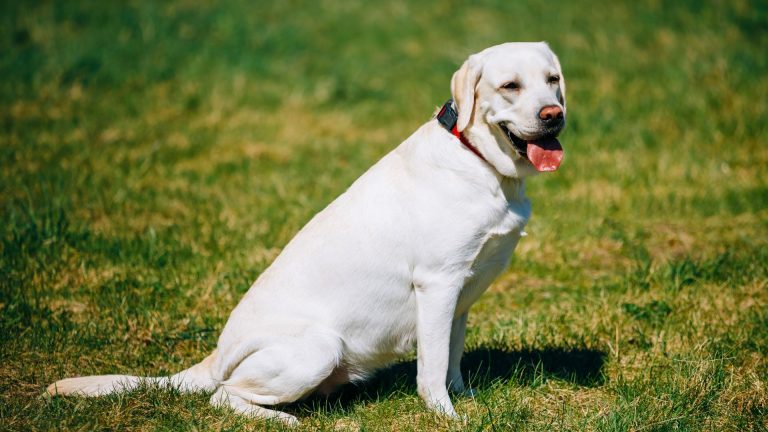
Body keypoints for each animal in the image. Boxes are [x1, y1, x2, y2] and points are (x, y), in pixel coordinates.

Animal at [46, 41, 564, 426]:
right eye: (510, 86)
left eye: (553, 80)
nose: (553, 114)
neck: (482, 164)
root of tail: (215, 355)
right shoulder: (437, 284)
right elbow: (432, 369)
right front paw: (445, 415)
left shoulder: (461, 292)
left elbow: (451, 358)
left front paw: (464, 398)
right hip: (318, 348)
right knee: (222, 397)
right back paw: (283, 420)